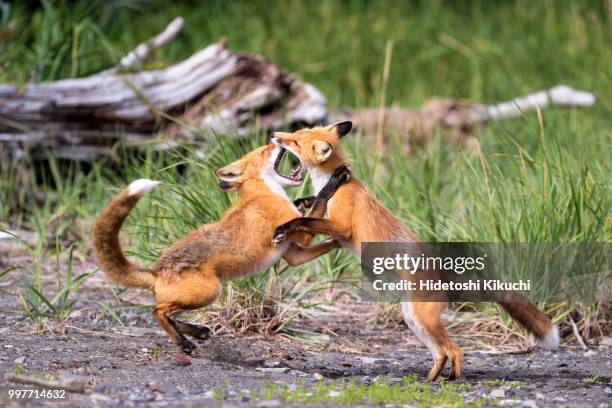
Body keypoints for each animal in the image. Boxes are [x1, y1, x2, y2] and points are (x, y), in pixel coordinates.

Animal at [93, 144, 346, 354]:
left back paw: (195, 333)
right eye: (265, 149)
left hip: (198, 296)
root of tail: (157, 271)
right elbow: (319, 203)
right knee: (158, 311)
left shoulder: (294, 253)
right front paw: (335, 180)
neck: (265, 193)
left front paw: (341, 236)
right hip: (210, 291)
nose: (277, 138)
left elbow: (317, 221)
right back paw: (184, 343)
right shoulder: (302, 236)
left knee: (168, 314)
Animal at [270, 122, 556, 380]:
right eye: (296, 134)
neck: (333, 184)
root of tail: (442, 268)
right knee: (441, 353)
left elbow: (308, 218)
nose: (274, 135)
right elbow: (311, 206)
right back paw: (429, 379)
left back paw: (452, 379)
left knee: (455, 350)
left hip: (424, 319)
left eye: (295, 141)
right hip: (414, 320)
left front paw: (285, 225)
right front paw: (300, 201)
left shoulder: (342, 227)